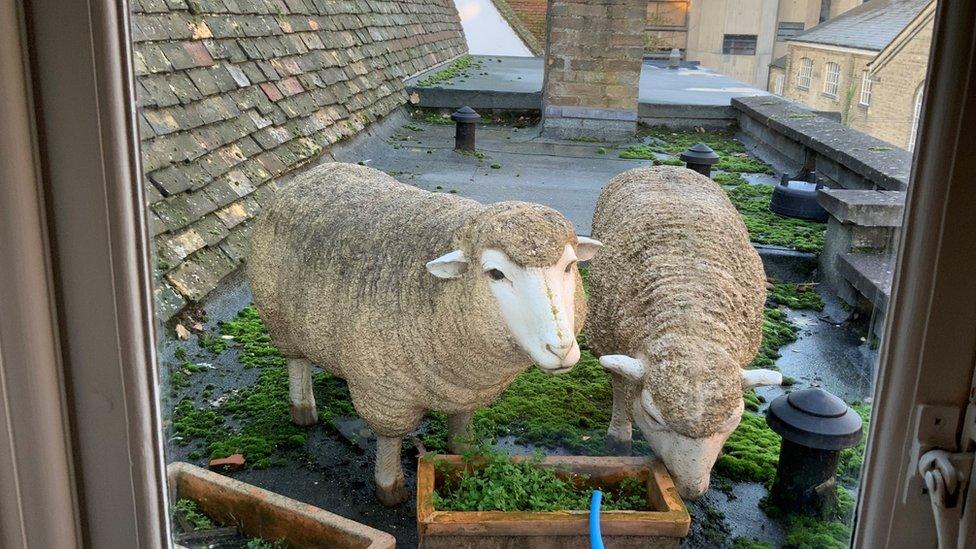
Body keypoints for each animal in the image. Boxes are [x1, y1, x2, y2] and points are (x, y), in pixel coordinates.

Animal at [248, 162, 600, 506]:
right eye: (496, 273)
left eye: (569, 266)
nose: (560, 348)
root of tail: (311, 174)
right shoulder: (386, 391)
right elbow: (389, 440)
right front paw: (389, 489)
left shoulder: (463, 387)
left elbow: (462, 427)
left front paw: (462, 455)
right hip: (279, 319)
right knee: (297, 363)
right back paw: (303, 410)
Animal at [584, 165, 780, 498]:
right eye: (652, 416)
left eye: (733, 420)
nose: (690, 490)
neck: (690, 317)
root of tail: (664, 167)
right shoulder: (608, 339)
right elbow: (621, 387)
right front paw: (619, 437)